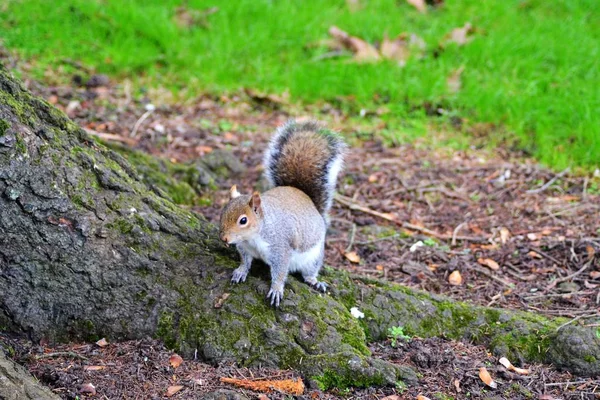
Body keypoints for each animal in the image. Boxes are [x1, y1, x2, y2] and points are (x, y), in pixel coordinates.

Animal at [218, 119, 344, 306]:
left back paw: (314, 281)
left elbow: (280, 271)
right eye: (222, 213)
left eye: (243, 220)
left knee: (309, 272)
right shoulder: (244, 247)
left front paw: (276, 289)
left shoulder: (280, 248)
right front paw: (241, 271)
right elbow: (245, 261)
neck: (254, 237)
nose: (224, 238)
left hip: (313, 256)